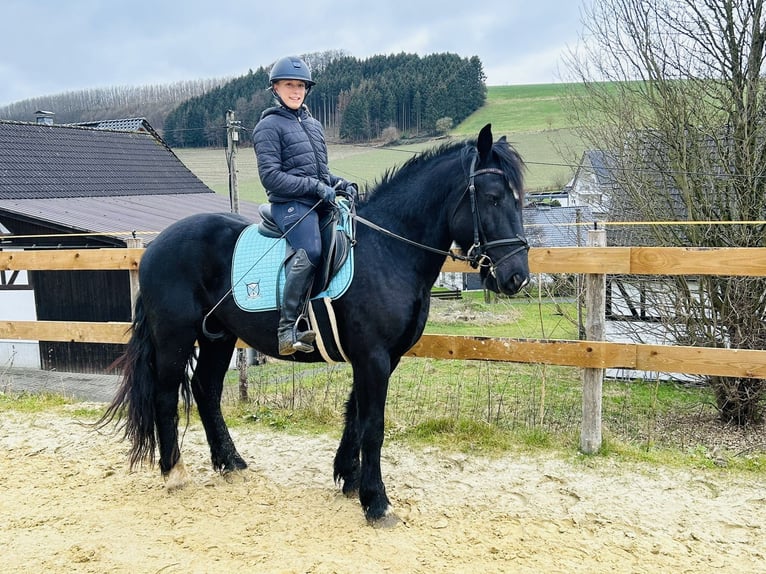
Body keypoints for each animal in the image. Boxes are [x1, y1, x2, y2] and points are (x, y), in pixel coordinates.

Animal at [99, 125, 532, 528]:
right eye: (493, 197)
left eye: (518, 199)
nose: (516, 277)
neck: (389, 250)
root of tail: (154, 247)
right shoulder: (373, 357)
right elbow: (373, 425)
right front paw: (376, 502)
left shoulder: (382, 358)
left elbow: (355, 415)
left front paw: (349, 479)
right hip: (174, 337)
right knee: (166, 396)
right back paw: (175, 472)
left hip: (217, 337)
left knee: (207, 389)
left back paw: (231, 463)